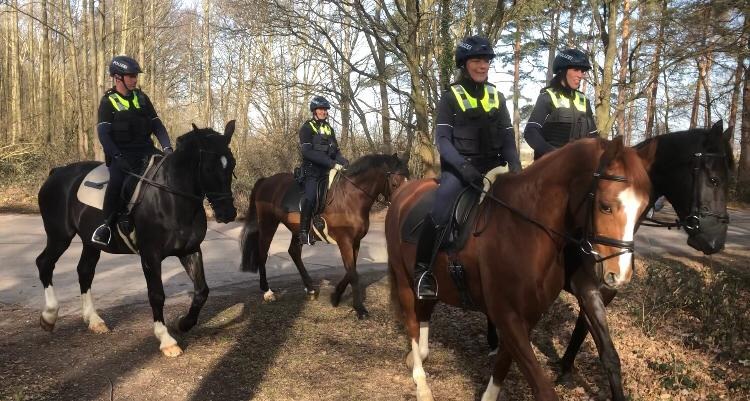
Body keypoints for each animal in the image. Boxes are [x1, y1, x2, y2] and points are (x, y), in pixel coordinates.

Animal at [33, 119, 235, 356]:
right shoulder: (150, 256)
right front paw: (167, 340)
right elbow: (156, 295)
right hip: (59, 236)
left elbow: (202, 290)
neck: (170, 198)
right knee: (45, 263)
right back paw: (49, 316)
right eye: (209, 167)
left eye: (232, 165)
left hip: (89, 242)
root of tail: (57, 173)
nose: (228, 213)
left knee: (84, 271)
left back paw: (94, 320)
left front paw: (184, 323)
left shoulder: (190, 250)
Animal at [241, 154, 408, 318]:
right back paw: (268, 292)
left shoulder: (355, 242)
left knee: (294, 252)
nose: (402, 205)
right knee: (263, 253)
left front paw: (336, 296)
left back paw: (310, 288)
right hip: (268, 224)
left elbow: (351, 270)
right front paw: (360, 309)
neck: (350, 198)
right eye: (394, 183)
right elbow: (353, 273)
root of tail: (266, 181)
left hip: (297, 230)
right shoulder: (345, 241)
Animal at [388, 138, 656, 400]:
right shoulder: (508, 316)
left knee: (424, 313)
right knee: (412, 323)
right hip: (404, 281)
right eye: (605, 206)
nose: (619, 275)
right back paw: (422, 384)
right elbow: (543, 389)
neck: (525, 229)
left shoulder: (528, 316)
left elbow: (502, 368)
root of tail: (403, 193)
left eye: (643, 209)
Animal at [488, 119, 736, 400]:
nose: (715, 241)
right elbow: (608, 354)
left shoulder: (603, 291)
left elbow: (582, 333)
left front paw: (565, 368)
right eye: (714, 180)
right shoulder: (585, 288)